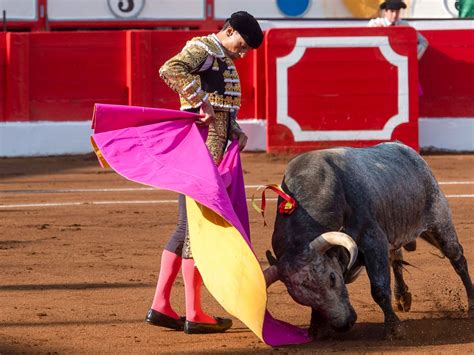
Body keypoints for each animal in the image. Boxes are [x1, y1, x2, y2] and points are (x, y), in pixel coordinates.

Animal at [262, 142, 474, 340]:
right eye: (298, 297)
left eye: (332, 278)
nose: (344, 325)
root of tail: (408, 151)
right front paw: (316, 328)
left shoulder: (373, 242)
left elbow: (379, 289)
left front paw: (394, 329)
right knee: (396, 259)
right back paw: (402, 297)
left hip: (439, 223)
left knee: (458, 260)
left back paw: (471, 306)